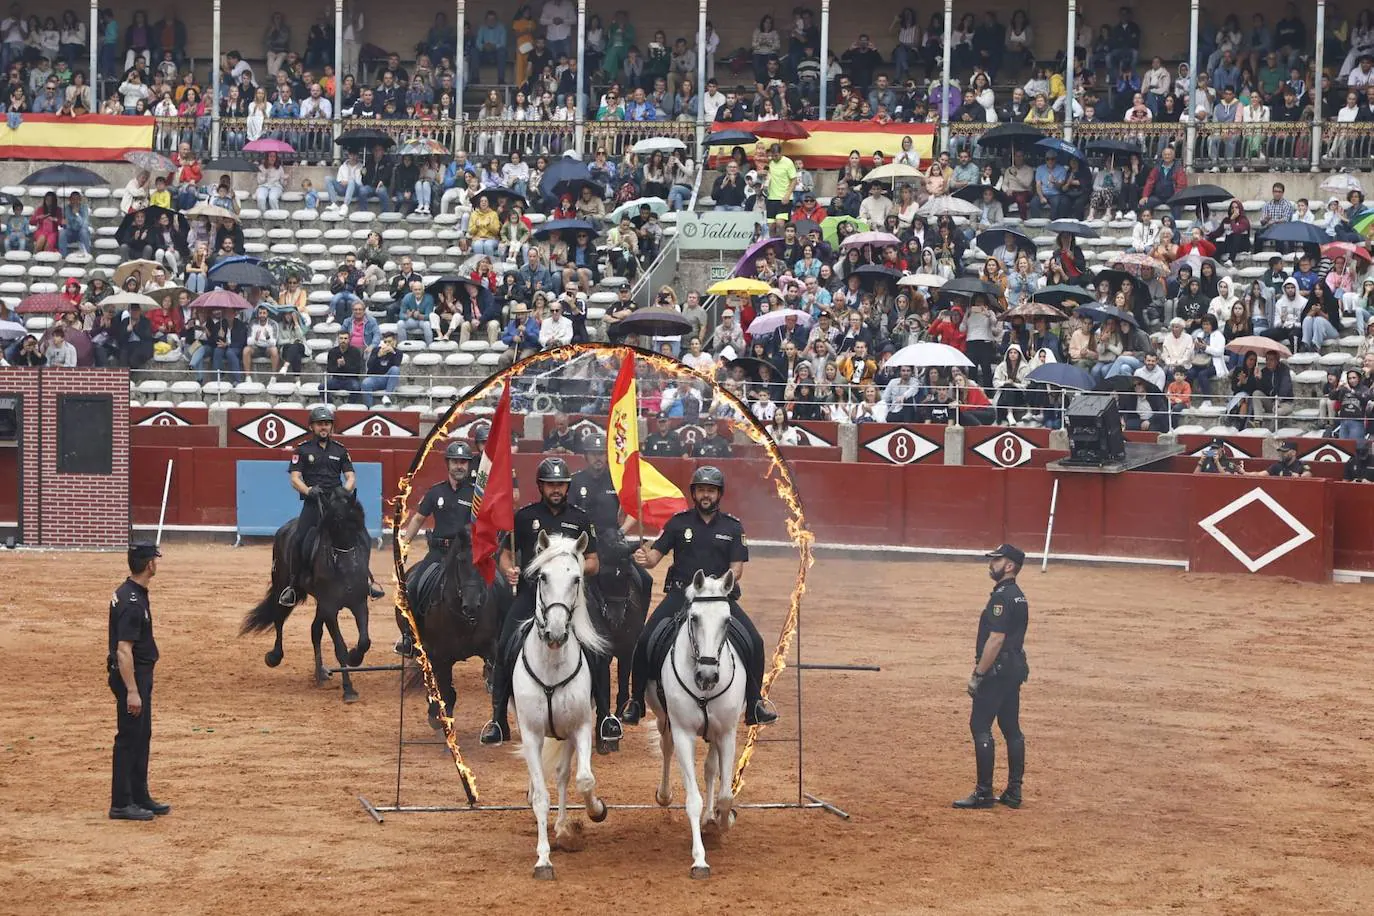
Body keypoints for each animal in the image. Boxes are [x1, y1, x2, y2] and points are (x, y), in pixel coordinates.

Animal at [240, 486, 370, 703]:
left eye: (360, 519)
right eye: (336, 520)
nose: (352, 564)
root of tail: (285, 528)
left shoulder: (358, 603)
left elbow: (364, 641)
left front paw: (355, 658)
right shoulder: (330, 608)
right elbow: (340, 647)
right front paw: (348, 689)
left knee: (314, 631)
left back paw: (320, 674)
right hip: (282, 585)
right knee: (279, 617)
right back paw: (274, 656)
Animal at [406, 530, 505, 730]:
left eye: (487, 560)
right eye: (461, 560)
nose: (471, 606)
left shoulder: (491, 648)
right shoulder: (441, 656)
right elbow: (446, 692)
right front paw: (439, 721)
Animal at [511, 530, 607, 878]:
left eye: (576, 578)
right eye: (542, 576)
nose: (554, 632)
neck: (551, 662)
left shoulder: (580, 727)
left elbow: (583, 779)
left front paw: (595, 811)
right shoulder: (530, 733)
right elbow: (541, 795)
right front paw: (543, 860)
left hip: (566, 733)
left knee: (565, 775)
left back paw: (564, 827)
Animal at [645, 568, 747, 878]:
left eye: (727, 620)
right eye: (695, 618)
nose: (708, 675)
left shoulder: (727, 733)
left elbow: (726, 795)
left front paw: (721, 823)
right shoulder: (683, 733)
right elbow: (693, 799)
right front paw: (699, 859)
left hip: (713, 732)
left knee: (711, 769)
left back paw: (711, 819)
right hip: (664, 719)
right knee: (666, 748)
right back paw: (664, 795)